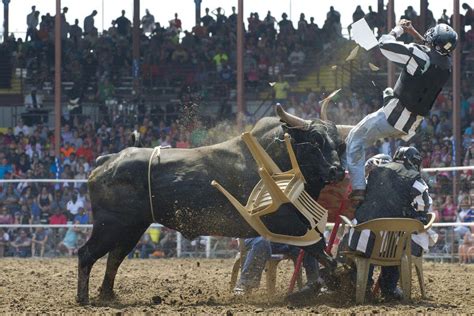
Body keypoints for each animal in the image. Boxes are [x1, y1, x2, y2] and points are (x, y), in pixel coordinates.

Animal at [76, 108, 346, 304]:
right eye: (315, 140)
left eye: (340, 144)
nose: (337, 170)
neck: (276, 158)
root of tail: (107, 160)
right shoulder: (285, 222)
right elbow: (318, 248)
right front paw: (338, 278)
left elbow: (316, 248)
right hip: (110, 226)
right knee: (87, 253)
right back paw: (83, 298)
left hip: (132, 228)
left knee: (114, 258)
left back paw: (108, 295)